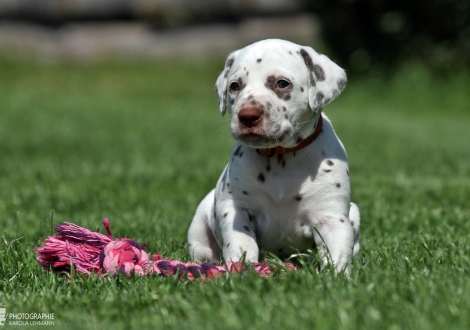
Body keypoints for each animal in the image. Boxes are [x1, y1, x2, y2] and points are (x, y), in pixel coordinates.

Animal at [187, 38, 360, 274]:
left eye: (282, 83)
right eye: (235, 86)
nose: (247, 115)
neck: (280, 157)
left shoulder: (331, 217)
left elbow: (337, 255)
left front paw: (336, 277)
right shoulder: (236, 210)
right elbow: (242, 244)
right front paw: (243, 271)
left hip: (355, 214)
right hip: (200, 229)